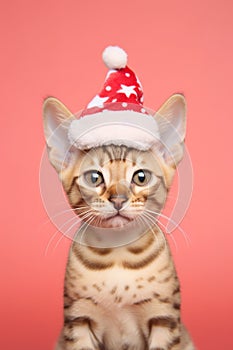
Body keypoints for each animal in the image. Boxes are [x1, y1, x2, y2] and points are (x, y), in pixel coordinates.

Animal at [42, 93, 195, 350]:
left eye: (141, 177)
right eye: (94, 178)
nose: (118, 199)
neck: (118, 255)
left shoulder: (164, 319)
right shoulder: (78, 320)